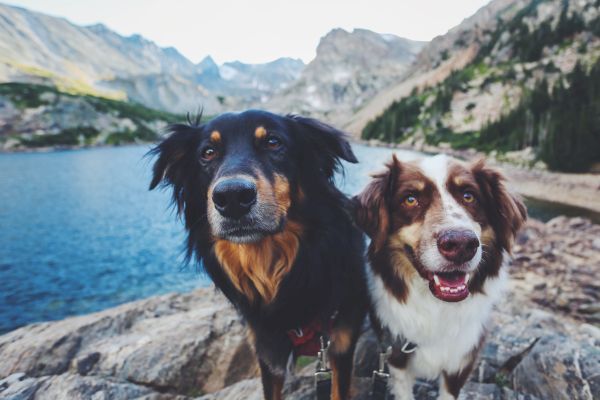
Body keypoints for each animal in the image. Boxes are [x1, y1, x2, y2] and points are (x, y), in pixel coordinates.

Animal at [354, 155, 528, 398]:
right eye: (410, 199)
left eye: (468, 196)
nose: (461, 244)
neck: (436, 307)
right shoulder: (396, 355)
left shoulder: (462, 359)